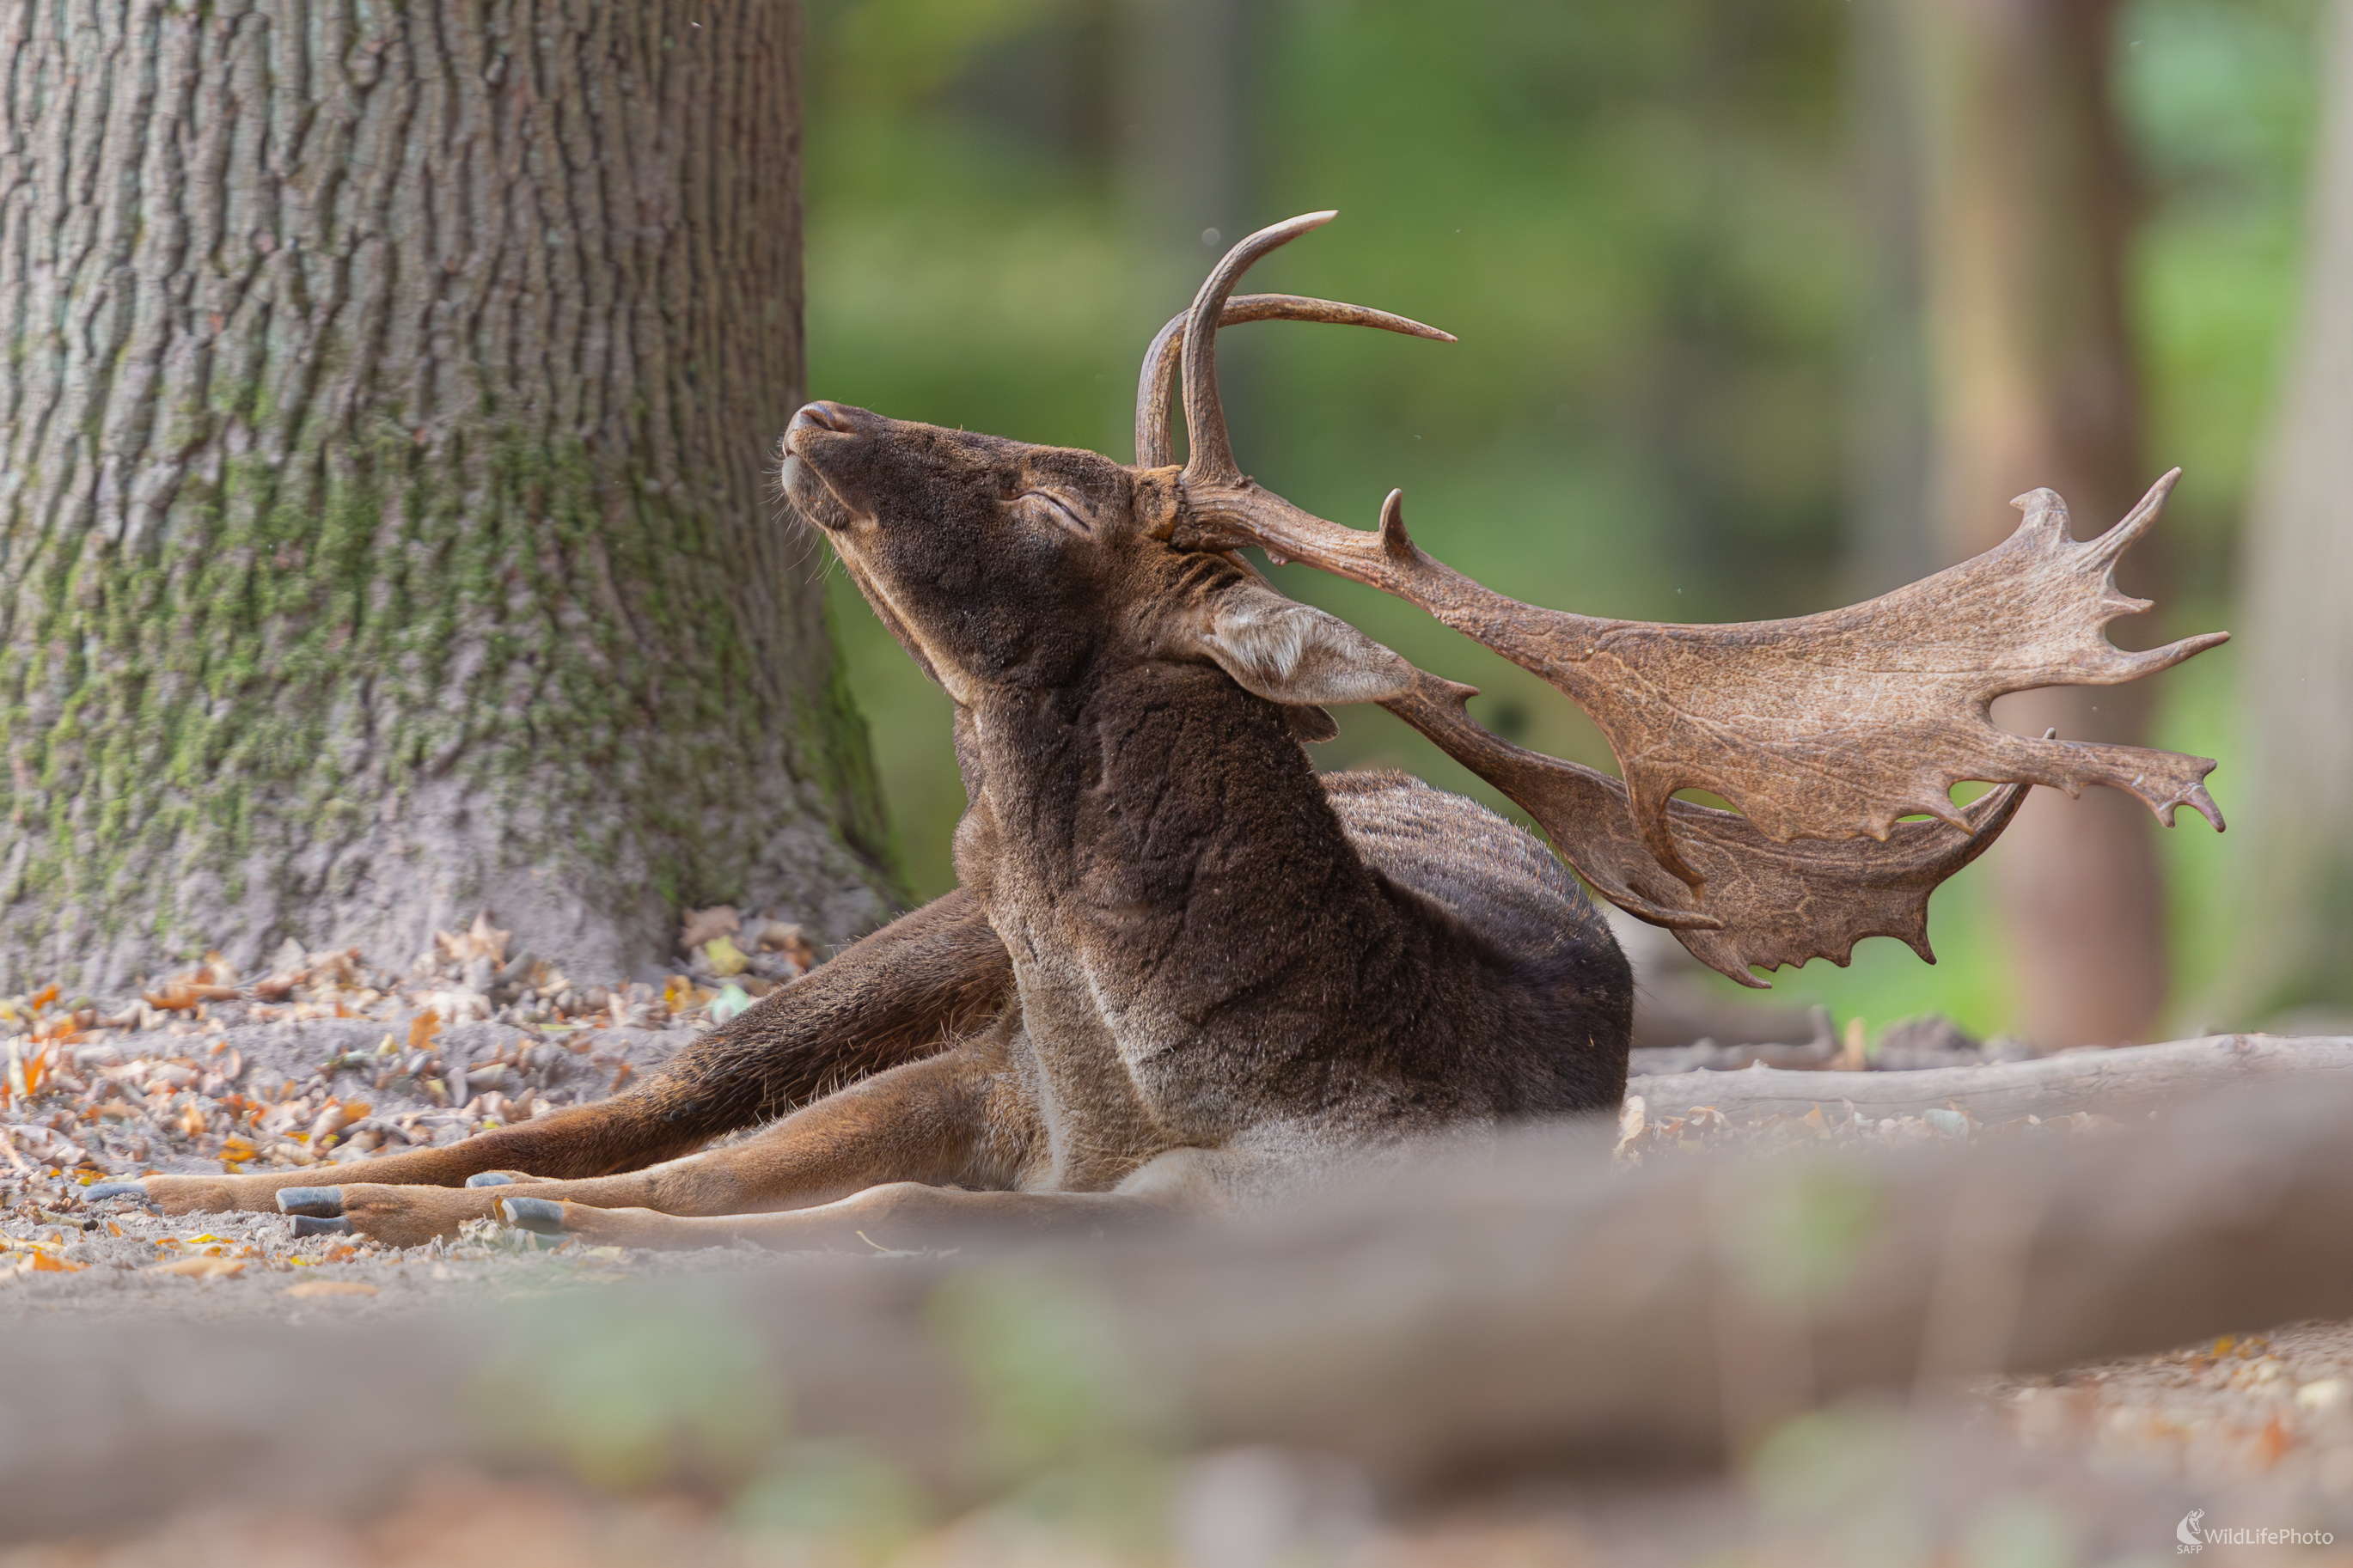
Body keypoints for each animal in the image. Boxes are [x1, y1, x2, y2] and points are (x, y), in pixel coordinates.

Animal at [83, 214, 2224, 1250]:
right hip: (901, 954)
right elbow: (676, 1172)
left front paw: (500, 1228)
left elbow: (843, 1218)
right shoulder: (986, 1079)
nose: (819, 411)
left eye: (1045, 496)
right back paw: (197, 1184)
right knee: (623, 1092)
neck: (1136, 1085)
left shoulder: (1231, 1193)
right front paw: (405, 1203)